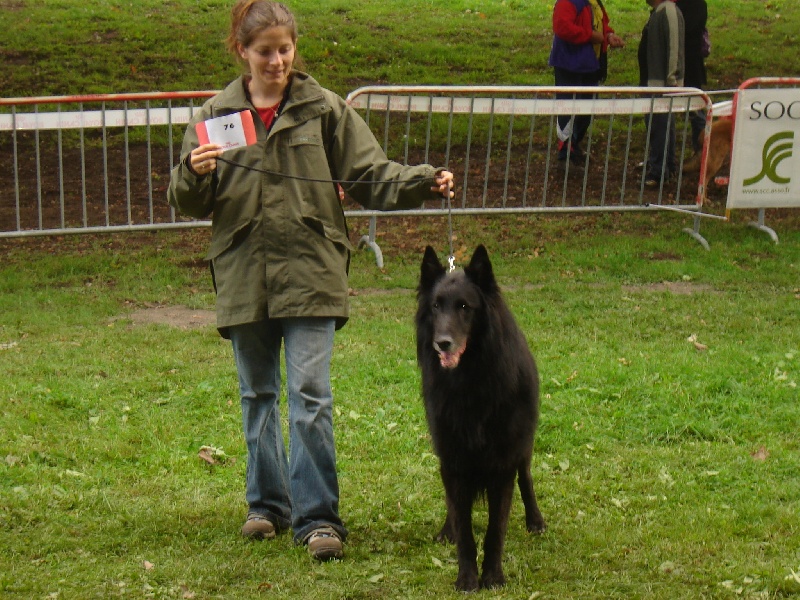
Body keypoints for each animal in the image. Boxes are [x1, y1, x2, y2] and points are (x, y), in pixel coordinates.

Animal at [416, 245, 548, 592]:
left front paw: (493, 577)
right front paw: (466, 578)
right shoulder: (452, 459)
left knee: (526, 478)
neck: (469, 383)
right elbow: (464, 527)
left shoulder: (502, 463)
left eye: (465, 307)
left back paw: (535, 520)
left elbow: (494, 530)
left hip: (522, 448)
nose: (442, 343)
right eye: (436, 306)